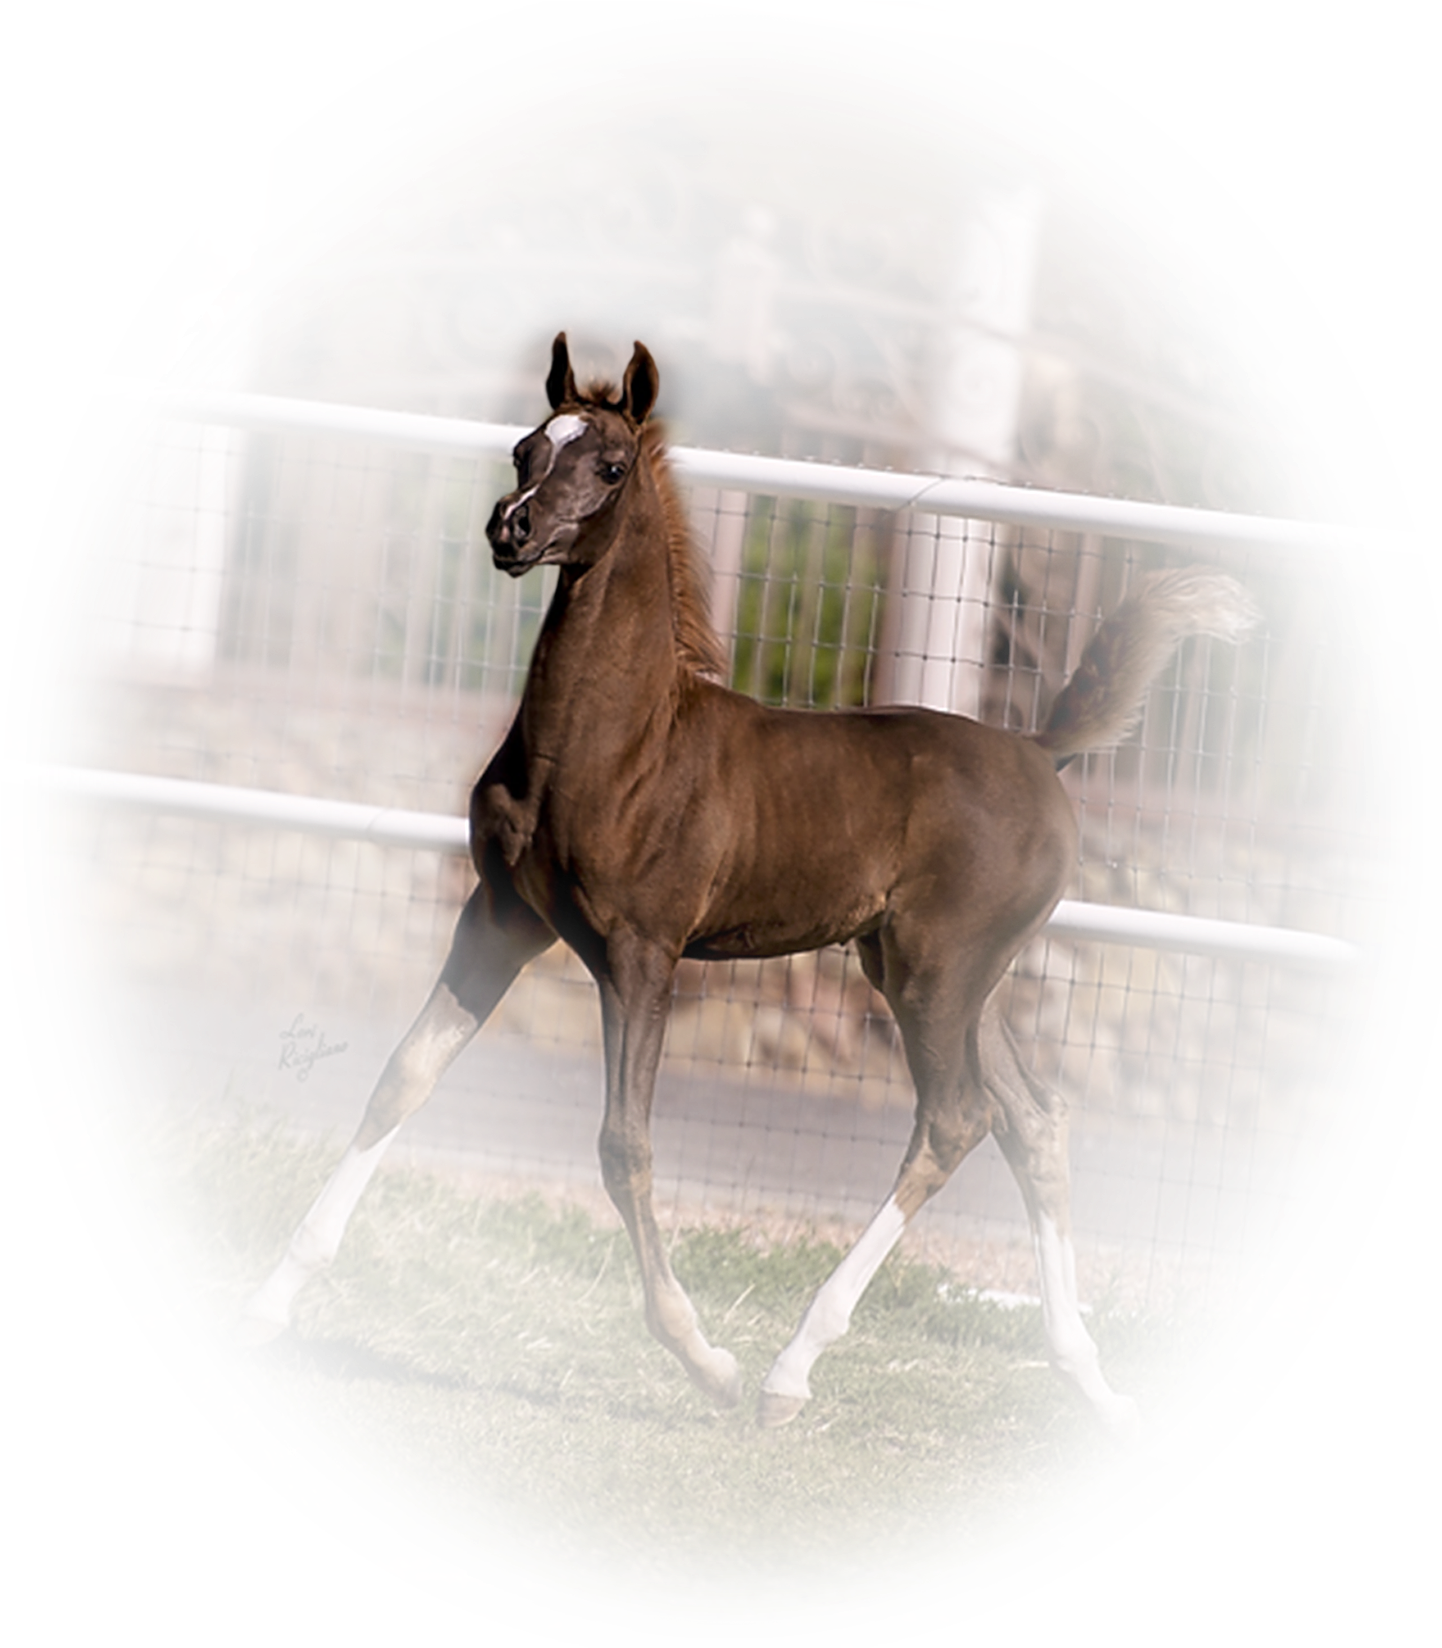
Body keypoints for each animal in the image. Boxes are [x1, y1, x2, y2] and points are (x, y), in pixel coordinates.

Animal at [230, 327, 1259, 1450]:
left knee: (953, 1119)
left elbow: (622, 1143)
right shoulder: (501, 917)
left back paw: (787, 1371)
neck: (612, 743)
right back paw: (1100, 1395)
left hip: (937, 972)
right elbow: (403, 1077)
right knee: (1031, 1119)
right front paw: (266, 1303)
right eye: (521, 448)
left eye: (608, 466)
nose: (511, 531)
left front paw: (702, 1357)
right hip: (939, 973)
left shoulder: (641, 951)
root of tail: (1039, 753)